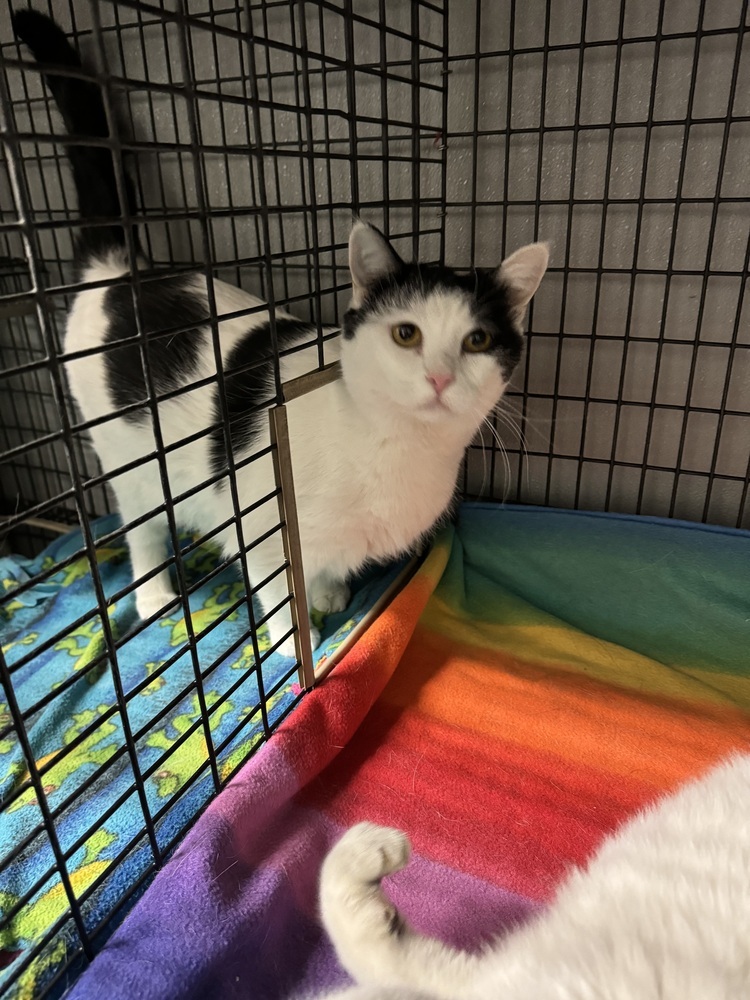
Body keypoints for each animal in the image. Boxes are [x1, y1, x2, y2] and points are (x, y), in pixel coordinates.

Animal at [14, 11, 548, 656]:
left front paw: (330, 593)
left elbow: (326, 566)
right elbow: (279, 587)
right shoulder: (265, 529)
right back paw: (154, 595)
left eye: (477, 342)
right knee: (141, 527)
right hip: (132, 461)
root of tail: (119, 271)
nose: (440, 377)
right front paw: (297, 642)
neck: (398, 448)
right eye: (406, 334)